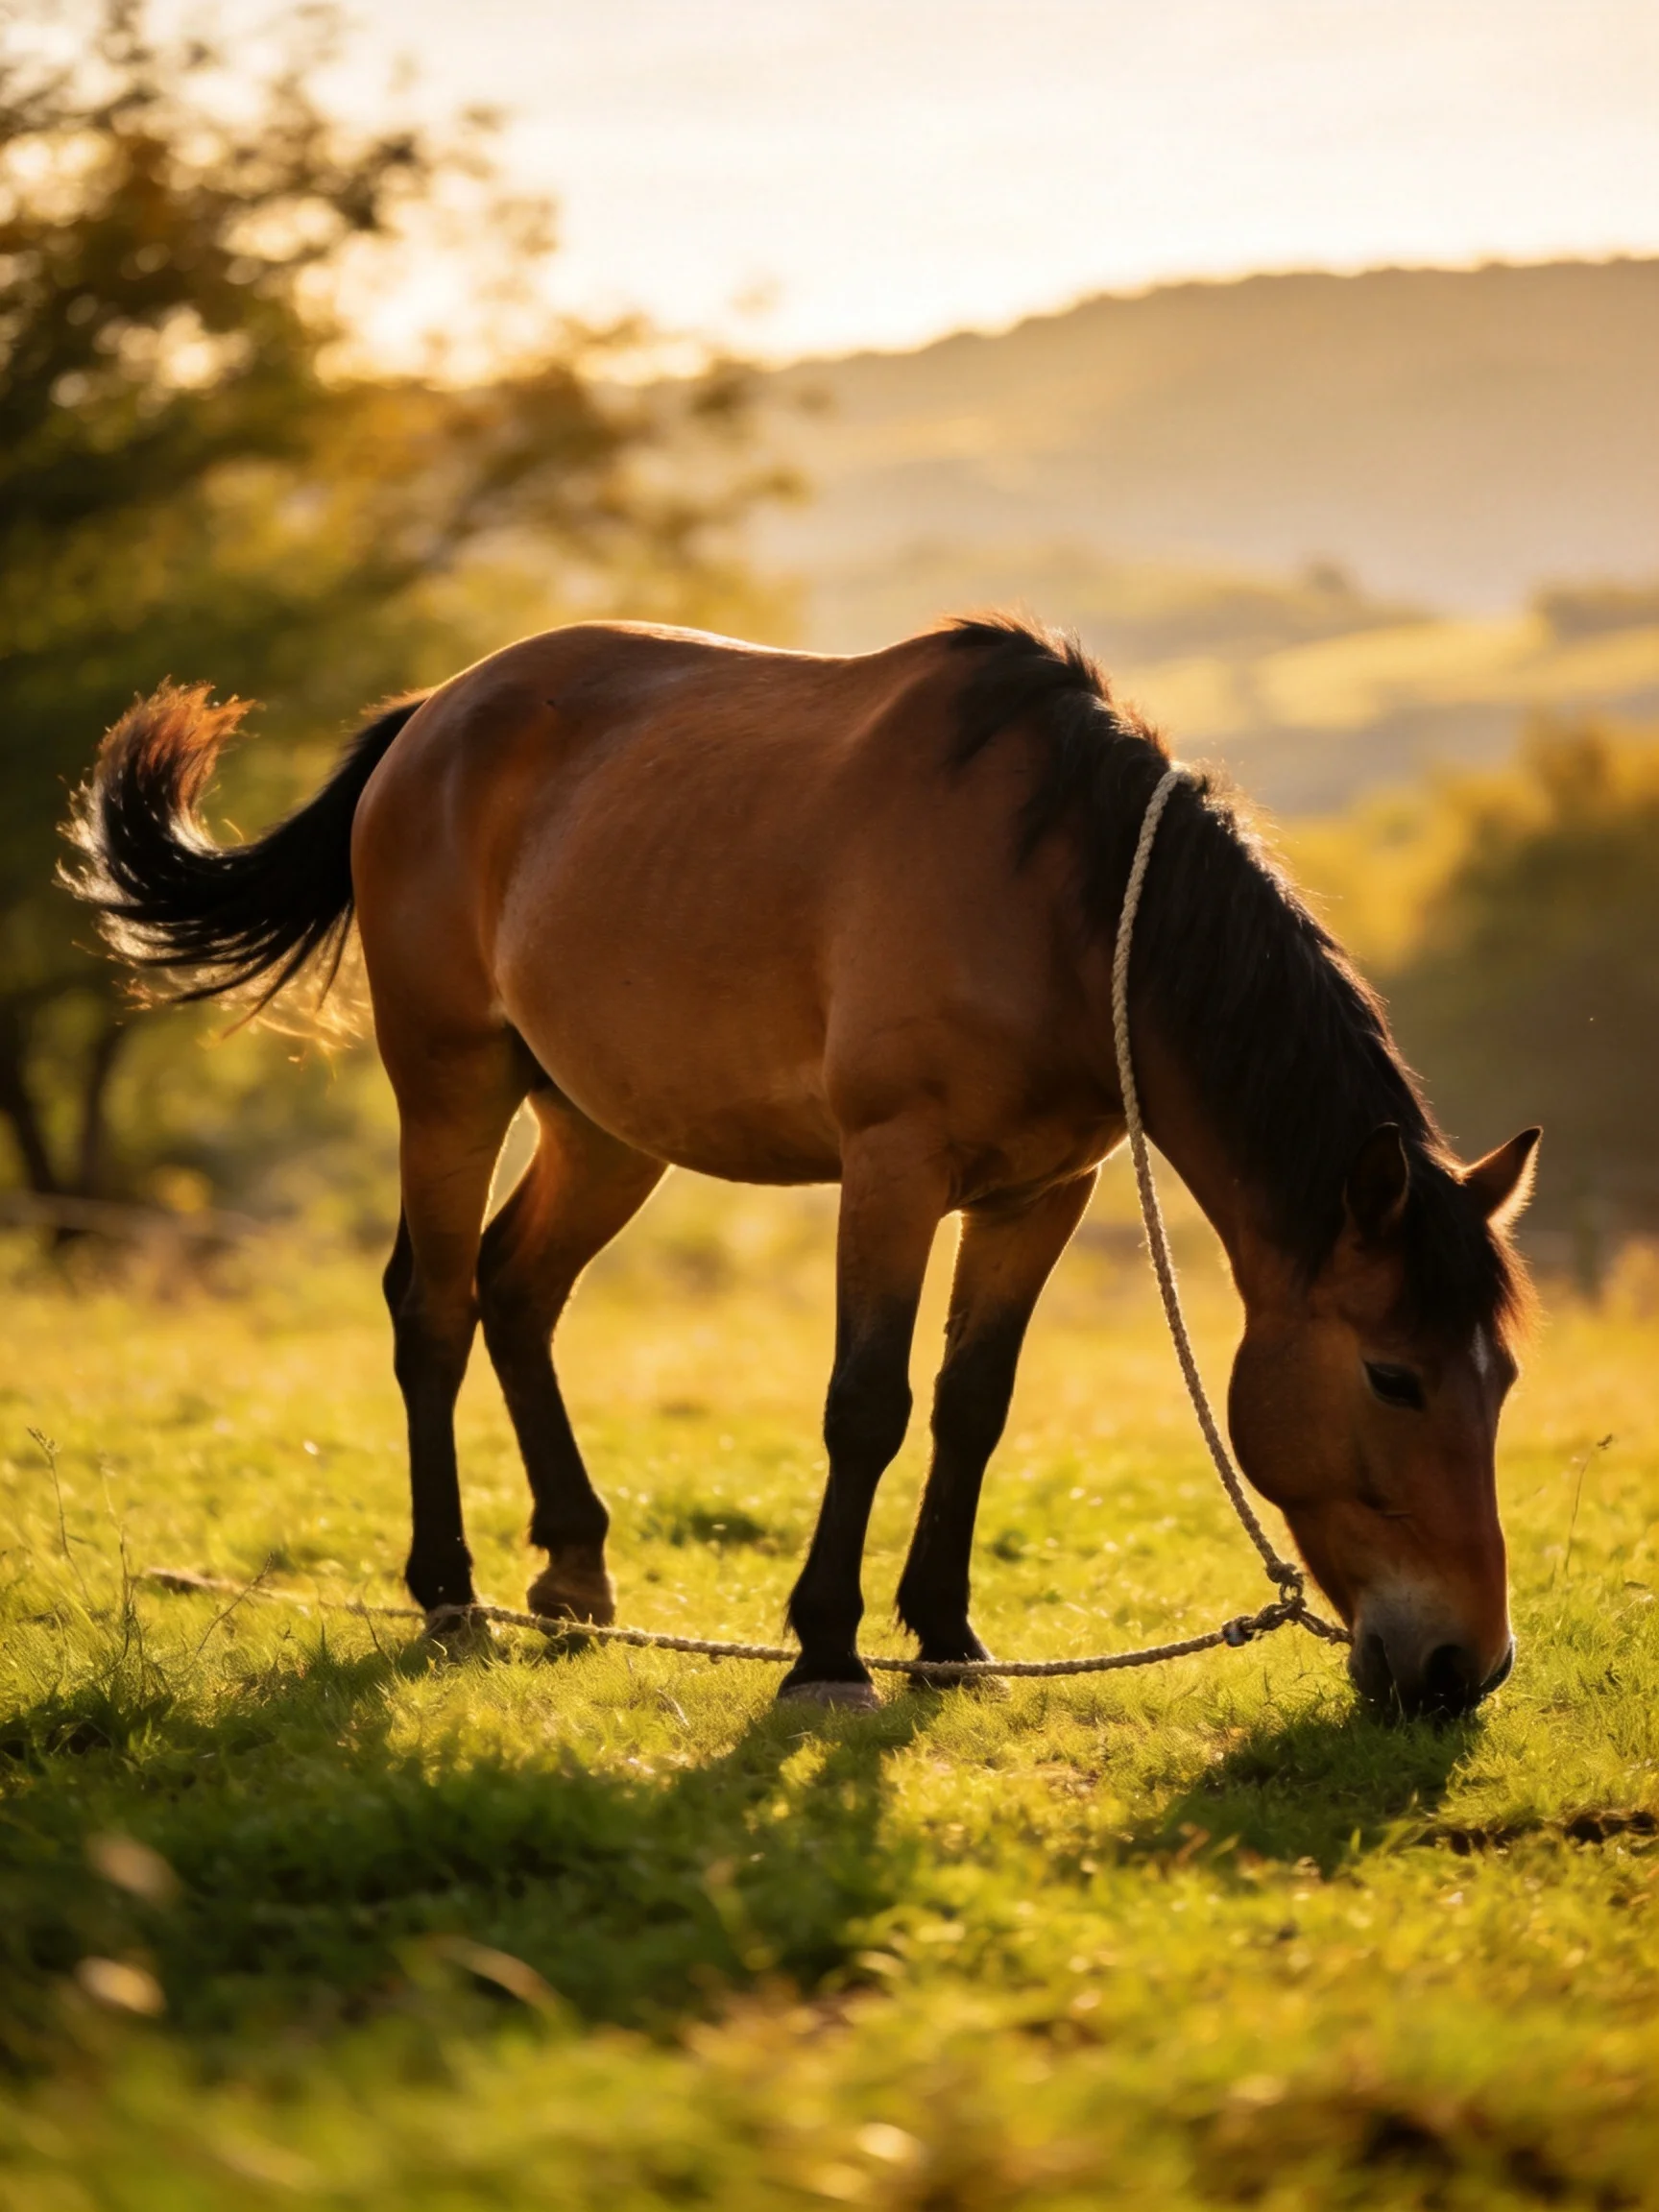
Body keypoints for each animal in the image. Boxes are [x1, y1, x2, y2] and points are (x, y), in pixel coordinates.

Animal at [69, 616, 1539, 1718]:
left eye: (1502, 1382)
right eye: (1394, 1377)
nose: (1462, 1666)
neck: (1053, 897)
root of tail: (433, 716)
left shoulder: (1038, 1194)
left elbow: (972, 1406)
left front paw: (947, 1638)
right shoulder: (893, 1170)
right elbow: (867, 1404)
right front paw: (829, 1653)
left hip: (605, 1129)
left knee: (518, 1292)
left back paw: (575, 1571)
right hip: (452, 1085)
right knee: (434, 1309)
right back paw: (451, 1592)